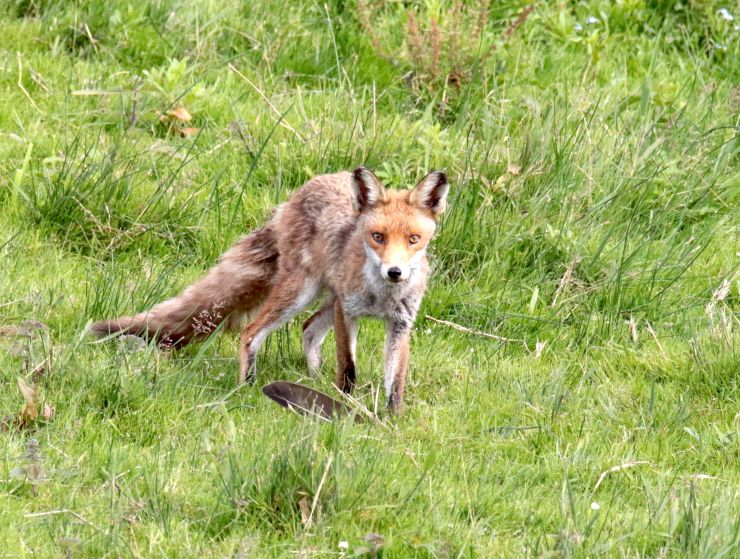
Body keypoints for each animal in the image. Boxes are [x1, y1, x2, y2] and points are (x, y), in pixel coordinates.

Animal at [92, 166, 450, 416]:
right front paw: (344, 405)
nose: (394, 272)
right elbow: (348, 368)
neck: (382, 296)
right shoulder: (347, 312)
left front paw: (393, 419)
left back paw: (313, 381)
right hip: (300, 292)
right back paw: (248, 386)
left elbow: (396, 381)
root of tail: (298, 193)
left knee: (308, 328)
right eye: (378, 237)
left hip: (320, 297)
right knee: (251, 331)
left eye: (413, 239)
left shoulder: (401, 323)